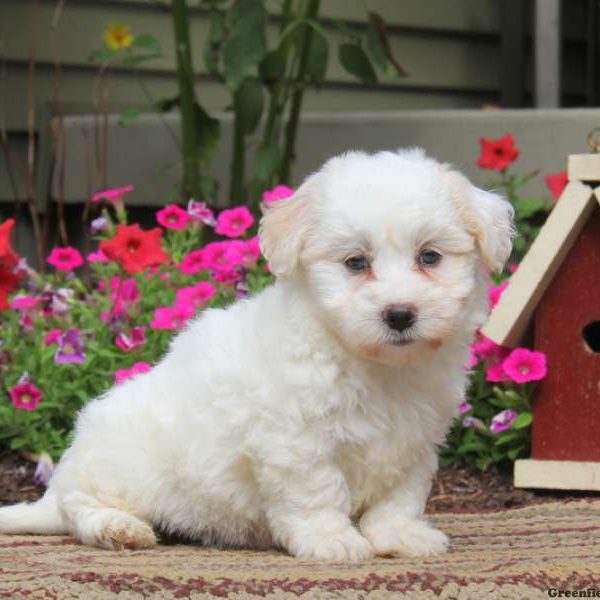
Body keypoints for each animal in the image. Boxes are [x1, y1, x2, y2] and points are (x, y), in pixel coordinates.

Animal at [0, 149, 510, 556]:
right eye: (355, 262)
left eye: (430, 257)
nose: (400, 314)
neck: (373, 364)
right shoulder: (297, 442)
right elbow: (318, 492)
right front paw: (333, 540)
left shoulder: (415, 440)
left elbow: (400, 496)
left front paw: (400, 535)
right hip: (118, 463)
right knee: (80, 508)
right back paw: (118, 527)